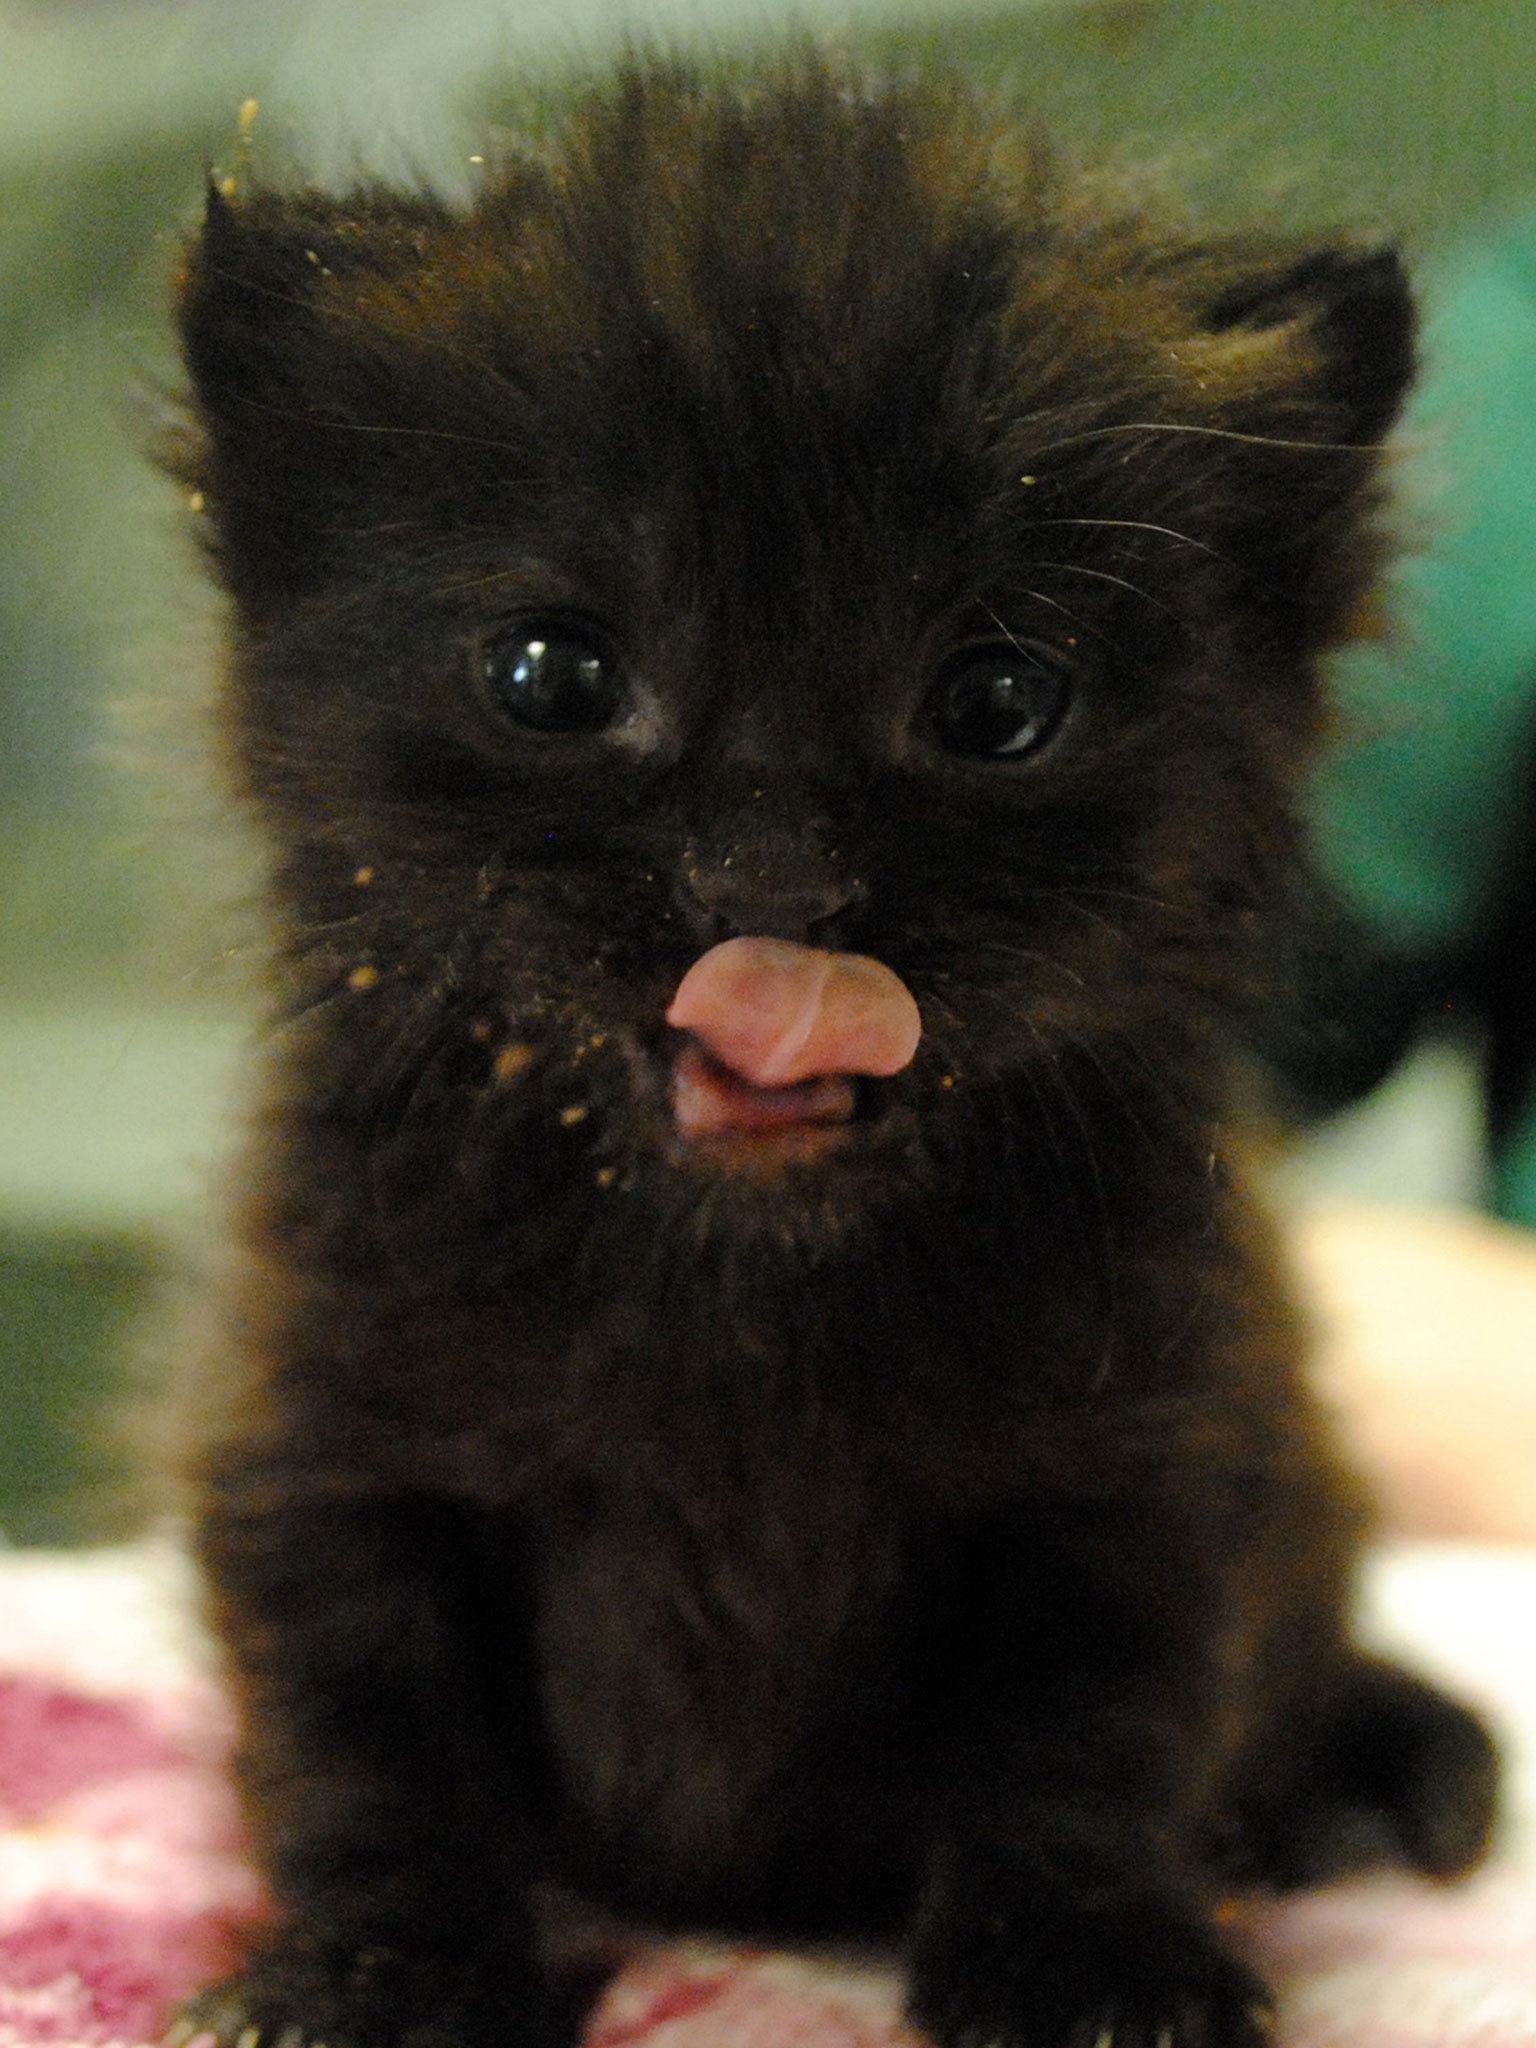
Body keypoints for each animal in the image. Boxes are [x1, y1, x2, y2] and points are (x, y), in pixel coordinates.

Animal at [167, 56, 1507, 2048]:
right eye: (553, 676)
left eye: (1000, 701)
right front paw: (368, 1971)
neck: (738, 1282)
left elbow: (1089, 1730)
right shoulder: (315, 1431)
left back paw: (1368, 1776)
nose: (773, 883)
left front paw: (1091, 1960)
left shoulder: (1150, 1450)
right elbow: (363, 1731)